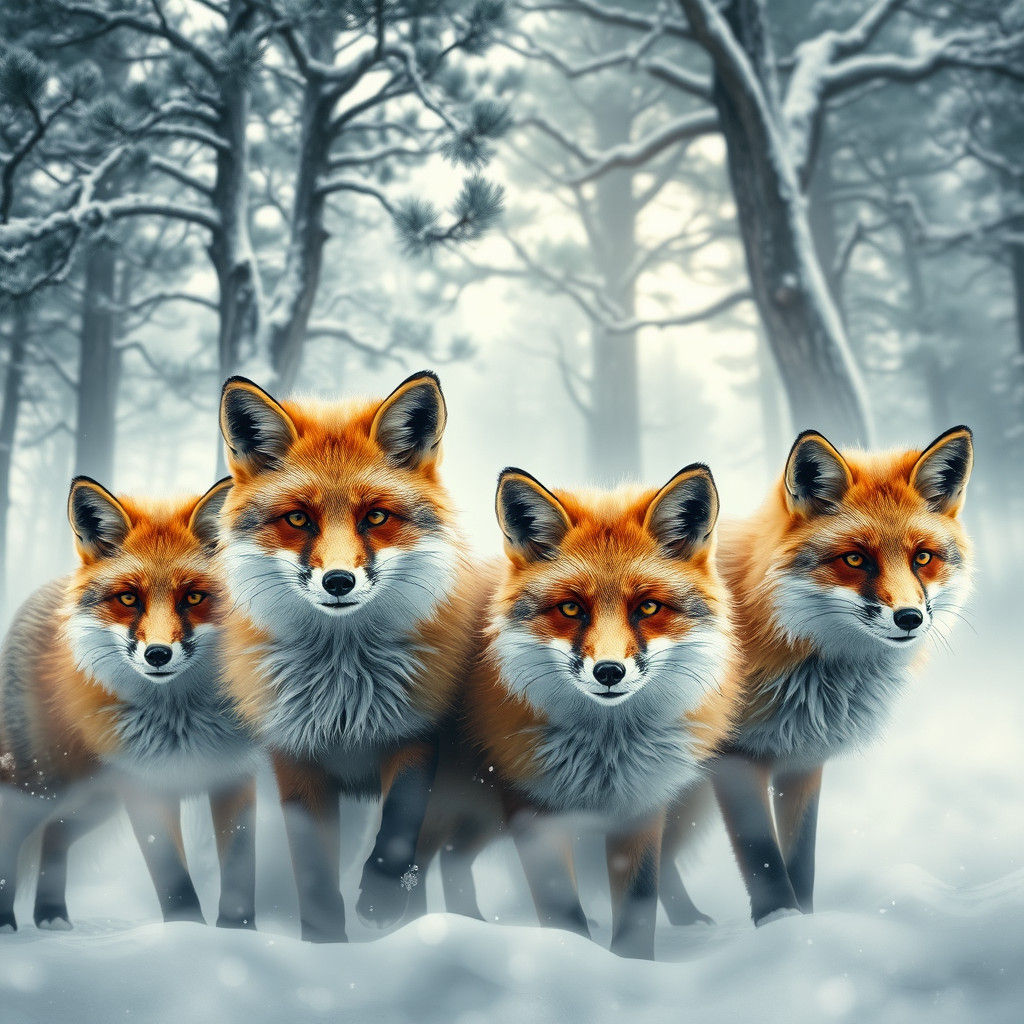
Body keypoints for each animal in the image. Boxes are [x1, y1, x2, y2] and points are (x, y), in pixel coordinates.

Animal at [0, 477, 258, 933]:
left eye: (193, 597)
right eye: (128, 599)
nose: (157, 654)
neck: (182, 720)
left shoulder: (237, 776)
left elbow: (240, 873)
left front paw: (240, 935)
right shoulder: (144, 786)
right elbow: (173, 880)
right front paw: (188, 934)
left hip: (94, 800)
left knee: (54, 834)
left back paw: (51, 915)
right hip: (43, 784)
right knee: (12, 832)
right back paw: (8, 921)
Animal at [216, 370, 481, 942]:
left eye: (375, 516)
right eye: (298, 518)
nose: (338, 581)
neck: (344, 691)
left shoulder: (415, 732)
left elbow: (400, 826)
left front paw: (379, 901)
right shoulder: (295, 756)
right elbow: (314, 871)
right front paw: (325, 945)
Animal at [412, 464, 741, 959]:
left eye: (647, 607)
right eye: (571, 608)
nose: (609, 672)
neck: (606, 752)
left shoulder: (641, 804)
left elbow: (640, 897)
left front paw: (634, 964)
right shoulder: (531, 809)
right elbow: (561, 908)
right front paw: (576, 958)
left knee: (451, 856)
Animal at [664, 426, 974, 926]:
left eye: (923, 557)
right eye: (855, 559)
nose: (909, 618)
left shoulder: (803, 758)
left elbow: (801, 859)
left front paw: (807, 924)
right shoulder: (736, 759)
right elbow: (762, 858)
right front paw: (779, 923)